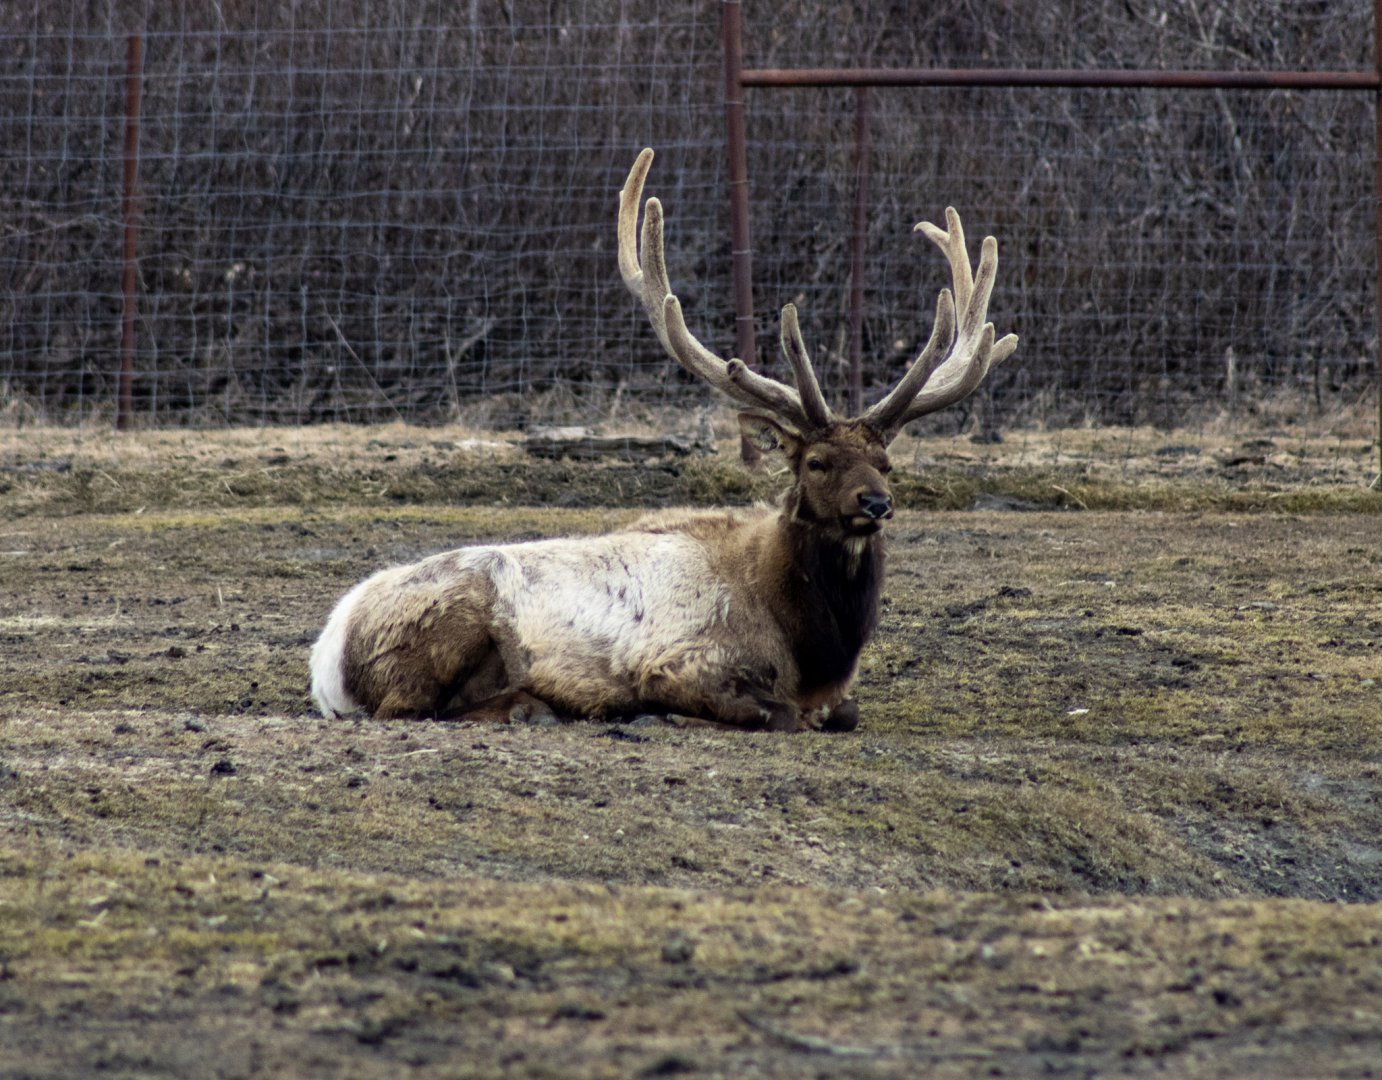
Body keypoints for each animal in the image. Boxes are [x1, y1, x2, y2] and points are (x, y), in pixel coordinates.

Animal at [309, 148, 1017, 732]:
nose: (875, 504)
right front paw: (668, 715)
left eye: (886, 462)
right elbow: (777, 714)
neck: (811, 642)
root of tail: (326, 660)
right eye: (815, 461)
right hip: (450, 627)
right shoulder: (681, 661)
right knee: (413, 707)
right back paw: (532, 707)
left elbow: (845, 713)